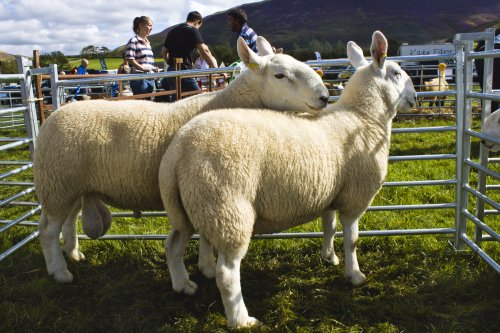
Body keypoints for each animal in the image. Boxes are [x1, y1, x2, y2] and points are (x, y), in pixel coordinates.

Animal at [36, 36, 328, 282]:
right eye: (280, 75)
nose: (325, 97)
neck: (225, 102)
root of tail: (51, 117)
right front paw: (207, 267)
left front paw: (206, 265)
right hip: (57, 184)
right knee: (48, 231)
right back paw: (60, 272)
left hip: (70, 186)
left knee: (68, 222)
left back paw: (74, 254)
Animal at [158, 30, 416, 326]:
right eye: (397, 72)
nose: (414, 96)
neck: (362, 116)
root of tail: (179, 149)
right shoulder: (356, 196)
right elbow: (352, 239)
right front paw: (355, 275)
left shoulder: (331, 190)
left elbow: (329, 226)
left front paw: (329, 257)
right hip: (228, 209)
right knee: (227, 272)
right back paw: (241, 319)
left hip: (189, 207)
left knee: (172, 244)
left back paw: (183, 285)